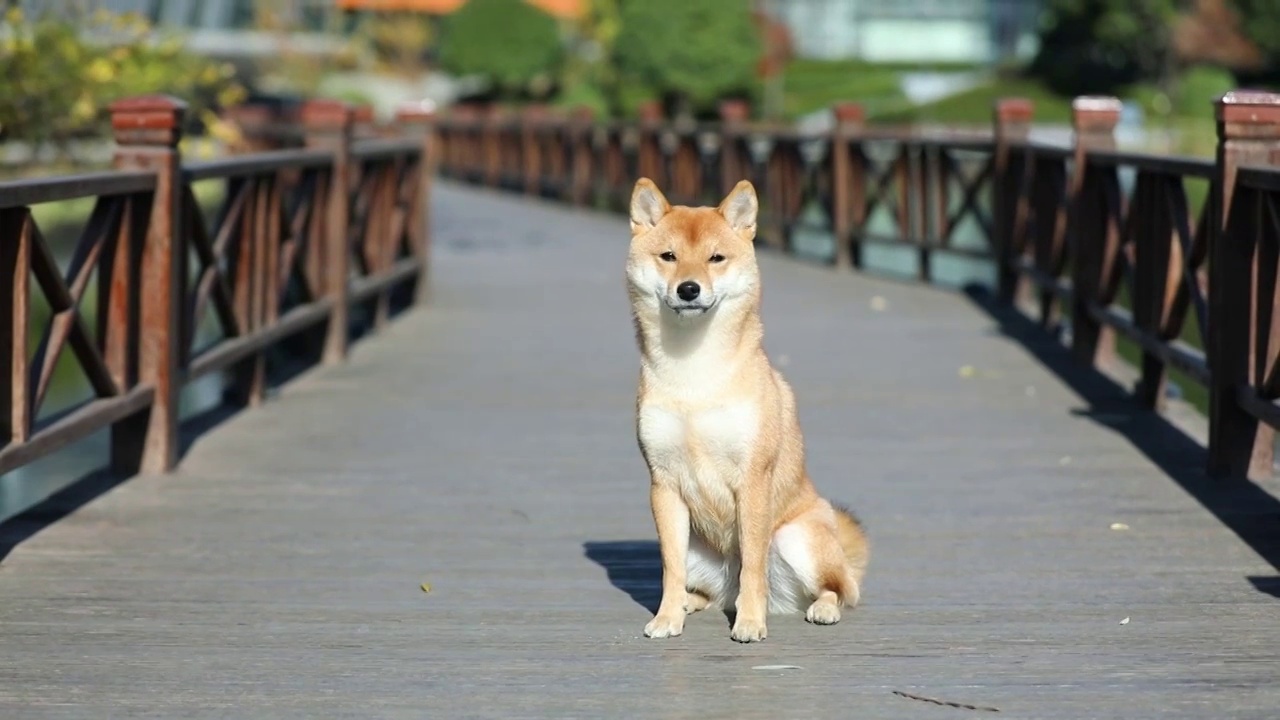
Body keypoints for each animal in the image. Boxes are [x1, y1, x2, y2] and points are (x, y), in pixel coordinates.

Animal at [622, 176, 865, 640]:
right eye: (669, 257)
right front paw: (666, 617)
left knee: (839, 588)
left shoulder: (753, 478)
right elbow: (669, 569)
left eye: (716, 258)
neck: (694, 375)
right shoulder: (664, 483)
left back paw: (820, 608)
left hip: (796, 537)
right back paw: (690, 603)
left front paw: (751, 622)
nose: (689, 288)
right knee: (711, 592)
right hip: (698, 547)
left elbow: (753, 564)